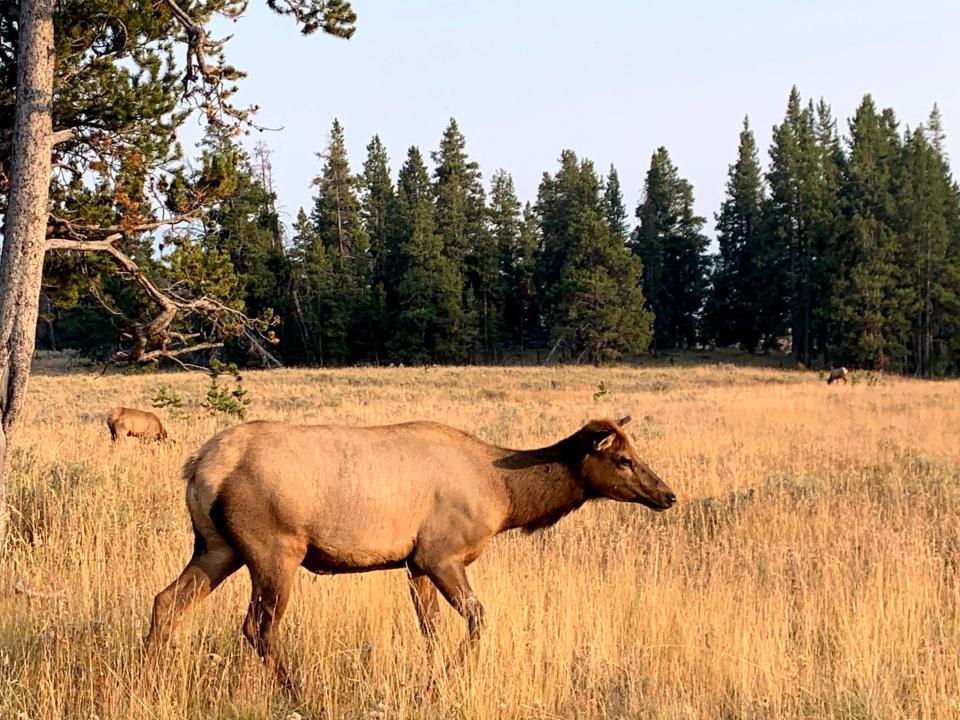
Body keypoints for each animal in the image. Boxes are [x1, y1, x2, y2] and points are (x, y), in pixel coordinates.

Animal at [146, 416, 680, 692]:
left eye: (637, 455)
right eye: (623, 459)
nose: (668, 495)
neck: (507, 499)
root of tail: (200, 467)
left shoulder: (412, 563)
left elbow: (431, 629)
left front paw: (433, 678)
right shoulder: (440, 555)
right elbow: (478, 618)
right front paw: (447, 678)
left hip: (217, 546)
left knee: (166, 600)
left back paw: (152, 676)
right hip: (274, 549)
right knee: (257, 626)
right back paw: (295, 691)